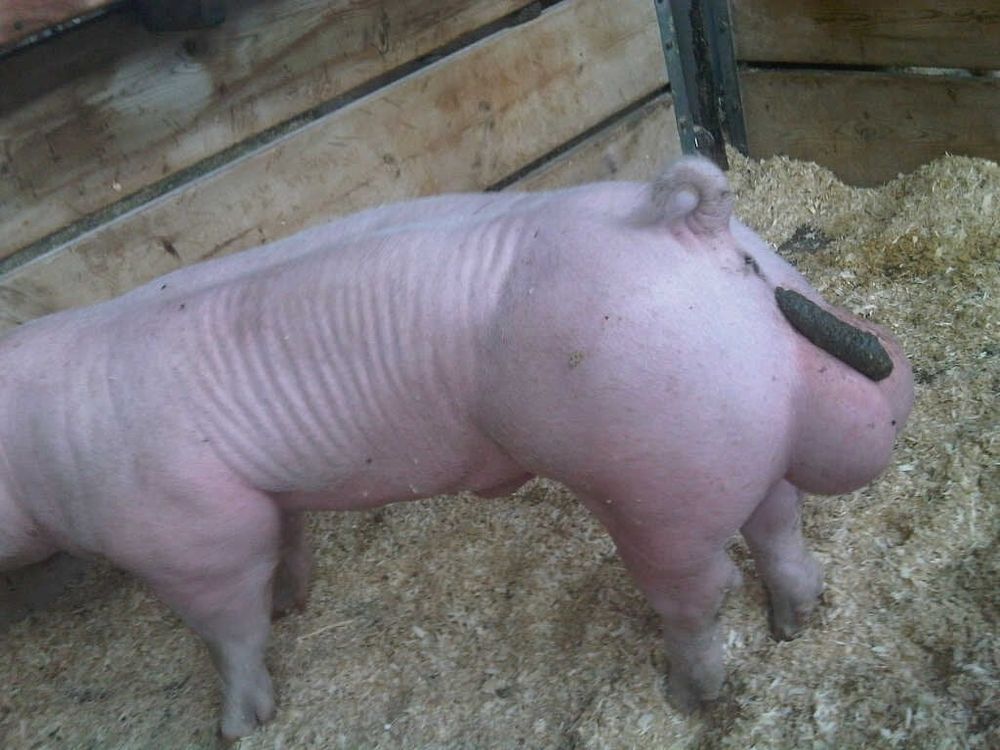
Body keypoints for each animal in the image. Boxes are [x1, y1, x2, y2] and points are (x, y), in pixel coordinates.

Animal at [0, 156, 914, 739]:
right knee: (778, 521)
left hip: (657, 473)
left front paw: (238, 725)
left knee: (702, 588)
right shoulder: (261, 498)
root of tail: (697, 226)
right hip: (733, 430)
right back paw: (796, 624)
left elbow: (230, 630)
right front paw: (294, 602)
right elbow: (286, 547)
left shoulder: (191, 531)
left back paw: (687, 695)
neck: (38, 451)